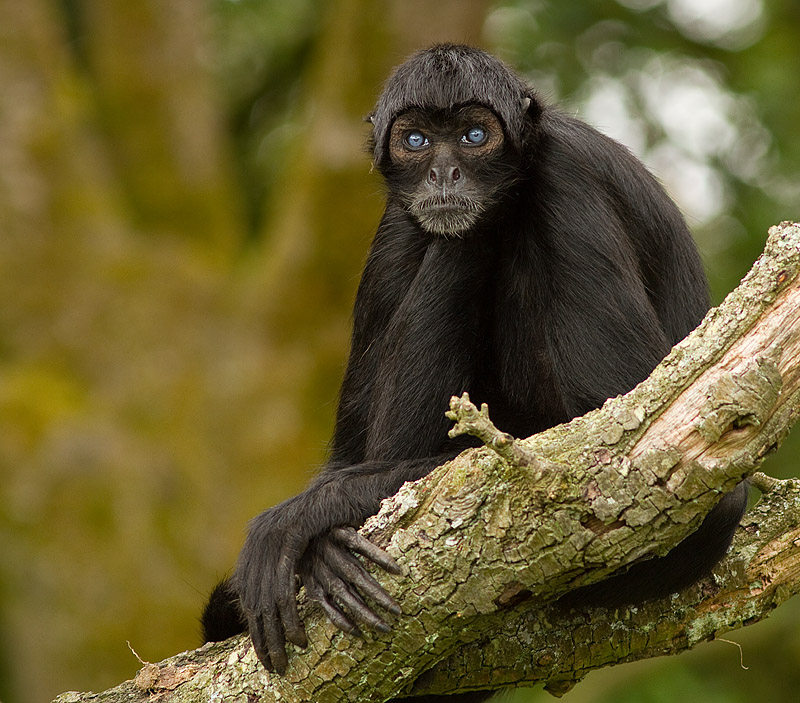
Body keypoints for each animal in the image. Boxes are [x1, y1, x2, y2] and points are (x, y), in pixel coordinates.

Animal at [202, 45, 752, 703]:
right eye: (416, 140)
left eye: (474, 136)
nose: (445, 175)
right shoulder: (398, 220)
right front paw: (325, 538)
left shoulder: (569, 180)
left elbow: (618, 451)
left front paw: (305, 518)